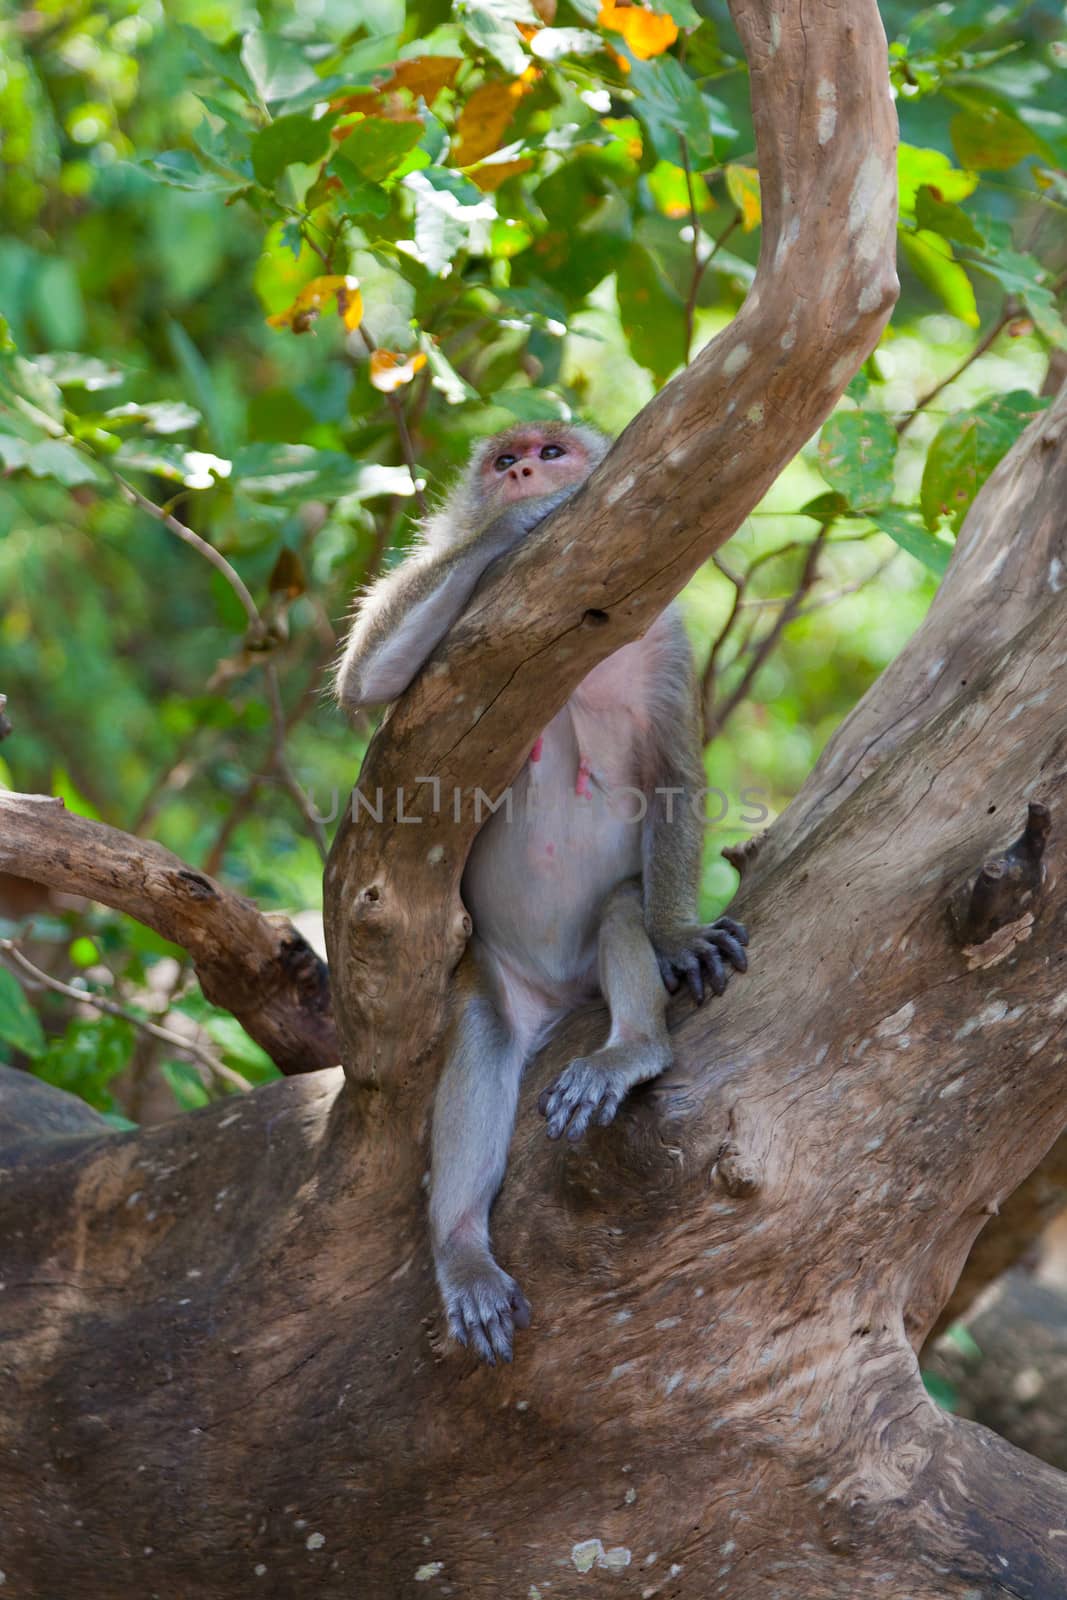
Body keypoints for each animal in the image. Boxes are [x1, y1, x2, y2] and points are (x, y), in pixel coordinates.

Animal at [337, 422, 748, 1363]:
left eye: (552, 447)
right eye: (503, 459)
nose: (527, 469)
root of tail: (563, 995)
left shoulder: (666, 643)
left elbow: (674, 779)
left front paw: (680, 936)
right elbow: (368, 683)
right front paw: (517, 524)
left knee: (622, 911)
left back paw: (632, 1047)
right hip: (499, 978)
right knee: (482, 1037)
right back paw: (461, 1249)